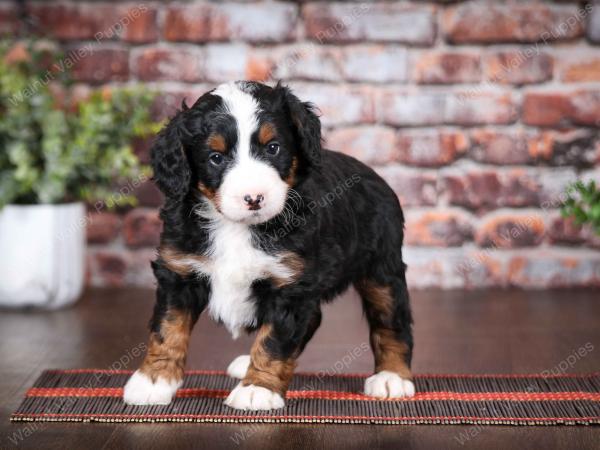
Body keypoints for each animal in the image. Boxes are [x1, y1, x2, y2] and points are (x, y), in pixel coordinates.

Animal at [122, 81, 412, 412]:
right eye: (216, 157)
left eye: (273, 148)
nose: (254, 198)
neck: (236, 227)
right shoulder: (178, 271)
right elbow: (167, 329)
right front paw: (153, 380)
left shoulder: (291, 285)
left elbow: (274, 341)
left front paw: (257, 389)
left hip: (382, 269)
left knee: (391, 321)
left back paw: (392, 377)